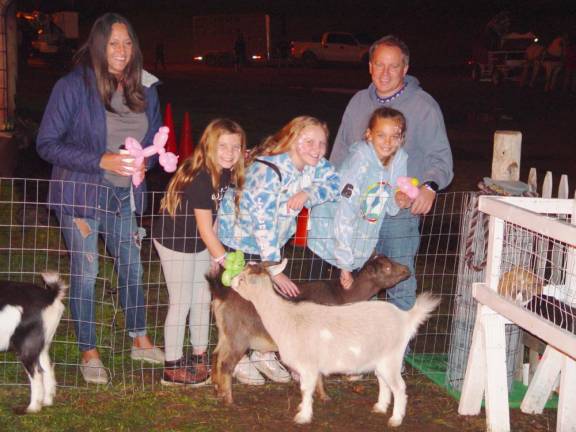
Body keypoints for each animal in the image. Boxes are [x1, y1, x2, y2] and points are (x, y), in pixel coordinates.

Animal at [0, 272, 67, 414]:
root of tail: (51, 296)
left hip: (28, 346)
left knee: (37, 374)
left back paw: (33, 407)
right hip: (43, 343)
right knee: (47, 368)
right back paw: (47, 402)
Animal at [206, 255, 410, 404]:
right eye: (387, 268)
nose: (407, 270)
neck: (342, 296)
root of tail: (222, 294)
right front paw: (325, 396)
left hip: (225, 333)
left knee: (216, 355)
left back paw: (217, 389)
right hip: (238, 337)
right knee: (226, 363)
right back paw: (229, 399)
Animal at [232, 260, 438, 426]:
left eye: (242, 279)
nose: (231, 282)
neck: (286, 317)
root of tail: (405, 318)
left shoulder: (308, 365)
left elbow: (306, 390)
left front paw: (303, 416)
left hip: (391, 358)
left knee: (399, 387)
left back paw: (396, 419)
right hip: (380, 359)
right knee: (384, 382)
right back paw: (380, 407)